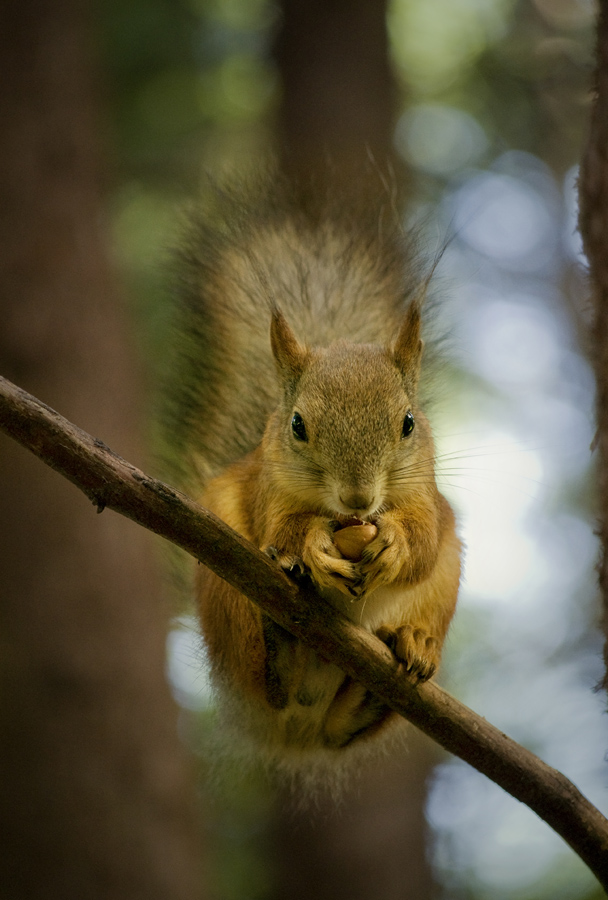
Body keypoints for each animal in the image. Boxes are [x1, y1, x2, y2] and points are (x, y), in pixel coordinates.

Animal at [166, 178, 460, 780]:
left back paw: (407, 651)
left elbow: (423, 540)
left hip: (445, 587)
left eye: (408, 423)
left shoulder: (425, 495)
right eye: (297, 425)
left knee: (347, 725)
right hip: (226, 595)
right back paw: (282, 647)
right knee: (265, 680)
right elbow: (281, 530)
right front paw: (312, 547)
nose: (358, 498)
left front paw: (396, 544)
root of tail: (295, 736)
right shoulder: (270, 490)